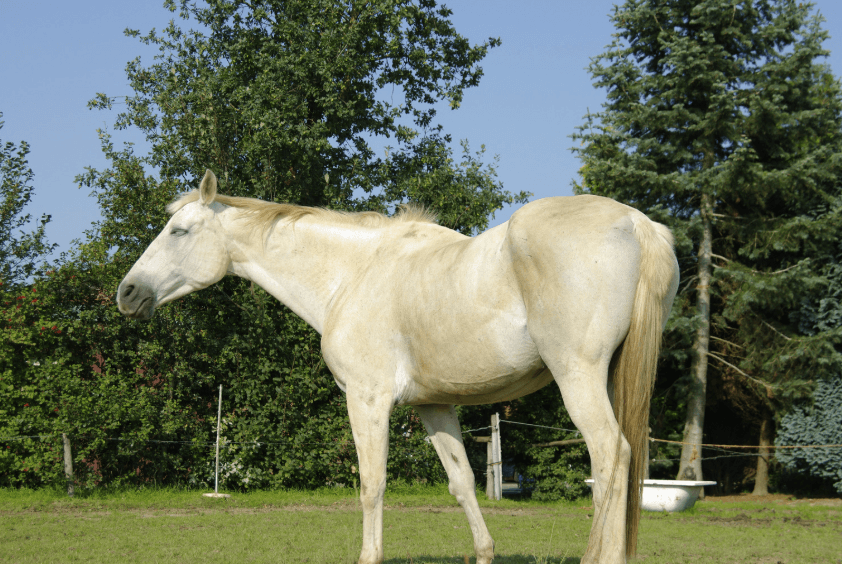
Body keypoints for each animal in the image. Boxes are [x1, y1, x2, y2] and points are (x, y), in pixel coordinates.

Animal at [117, 170, 679, 564]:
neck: (353, 273)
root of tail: (635, 223)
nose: (127, 293)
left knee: (611, 457)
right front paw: (485, 552)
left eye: (179, 230)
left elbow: (372, 483)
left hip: (578, 378)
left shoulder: (366, 399)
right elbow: (462, 482)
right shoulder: (435, 406)